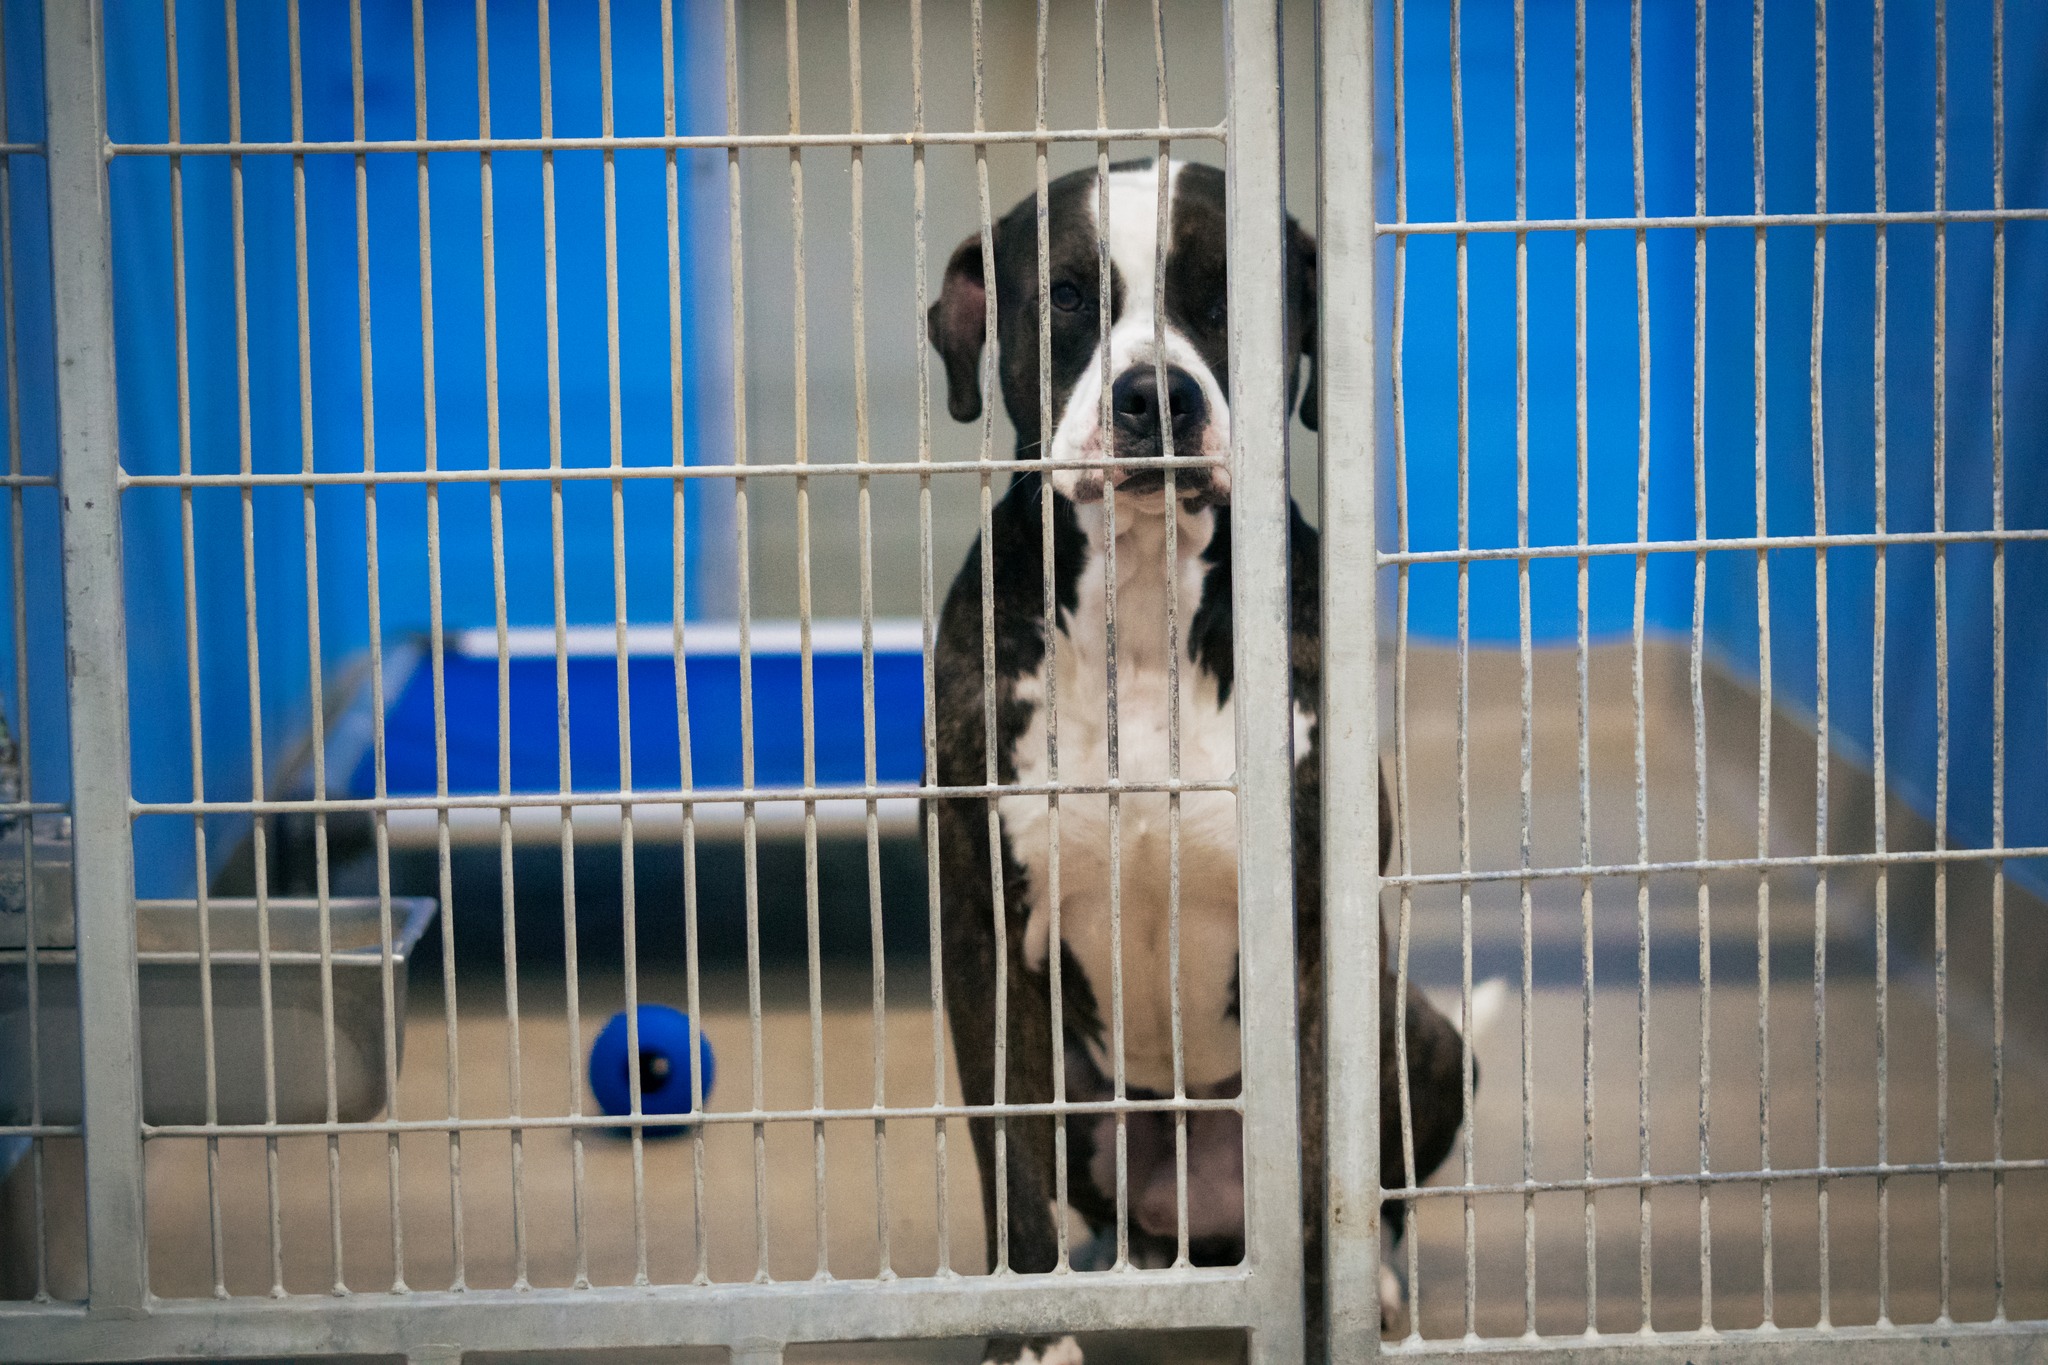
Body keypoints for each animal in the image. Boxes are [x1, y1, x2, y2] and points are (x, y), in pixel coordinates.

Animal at [929, 162, 1474, 1365]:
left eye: (1228, 299)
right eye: (1068, 294)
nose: (1154, 398)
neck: (1138, 606)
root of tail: (1204, 1222)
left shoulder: (1317, 937)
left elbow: (1324, 1173)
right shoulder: (982, 935)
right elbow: (1010, 1163)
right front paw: (1029, 1338)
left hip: (1420, 1034)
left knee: (1378, 1195)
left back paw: (1380, 1288)